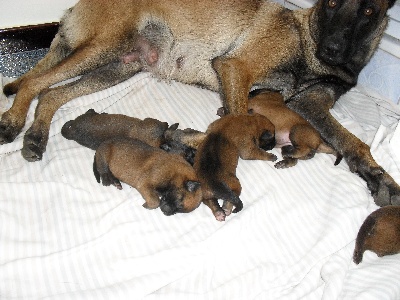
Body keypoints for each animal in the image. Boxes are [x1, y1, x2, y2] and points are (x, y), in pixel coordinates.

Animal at [0, 0, 398, 206]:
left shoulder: (311, 106)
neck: (309, 40)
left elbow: (353, 142)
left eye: (368, 11)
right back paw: (14, 122)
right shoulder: (236, 67)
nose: (332, 48)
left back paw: (36, 136)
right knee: (34, 82)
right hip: (103, 49)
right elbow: (234, 121)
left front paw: (378, 176)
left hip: (118, 65)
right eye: (331, 3)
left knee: (51, 93)